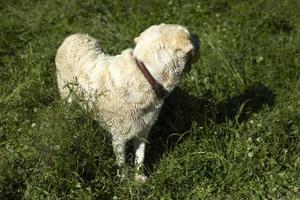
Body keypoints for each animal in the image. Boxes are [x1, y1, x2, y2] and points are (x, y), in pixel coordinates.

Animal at [55, 23, 199, 181]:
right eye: (190, 34)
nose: (198, 36)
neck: (146, 76)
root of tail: (73, 36)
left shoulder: (143, 130)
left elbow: (140, 157)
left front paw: (139, 178)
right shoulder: (119, 136)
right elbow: (122, 163)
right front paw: (124, 181)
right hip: (67, 97)